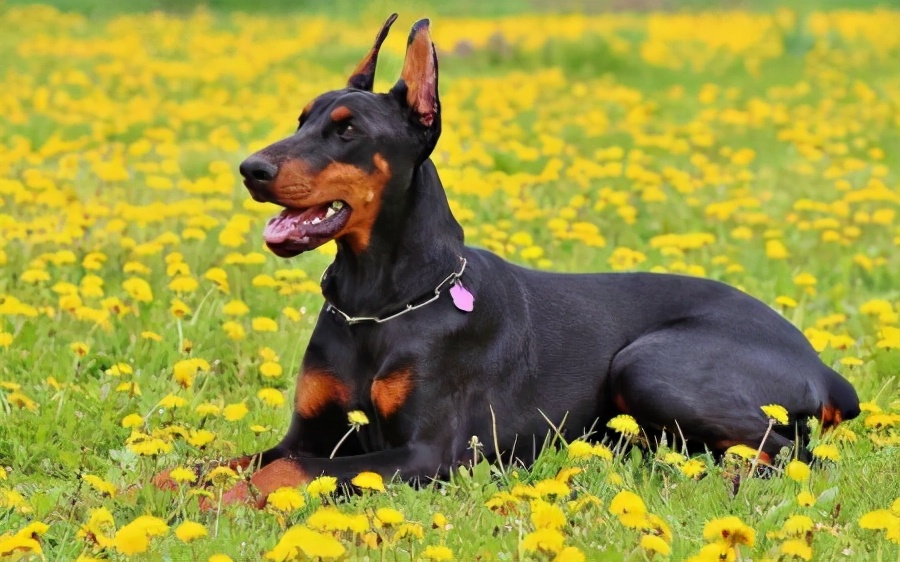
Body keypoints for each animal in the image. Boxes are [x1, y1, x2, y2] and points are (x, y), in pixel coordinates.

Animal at [171, 14, 864, 504]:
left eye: (346, 130)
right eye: (302, 119)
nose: (250, 169)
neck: (379, 303)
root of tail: (822, 366)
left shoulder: (426, 455)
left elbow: (287, 471)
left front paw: (214, 504)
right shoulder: (311, 429)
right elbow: (223, 461)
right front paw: (166, 489)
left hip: (649, 365)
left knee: (786, 452)